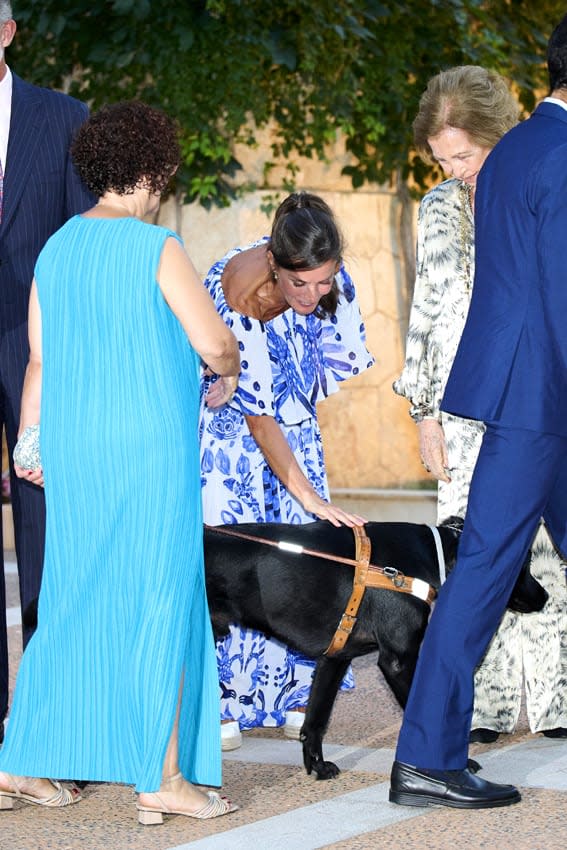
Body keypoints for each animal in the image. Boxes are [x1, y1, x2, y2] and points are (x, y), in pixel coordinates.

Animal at [204, 512, 544, 780]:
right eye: (522, 565)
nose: (545, 597)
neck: (427, 556)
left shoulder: (335, 658)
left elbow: (316, 721)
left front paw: (317, 767)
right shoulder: (399, 662)